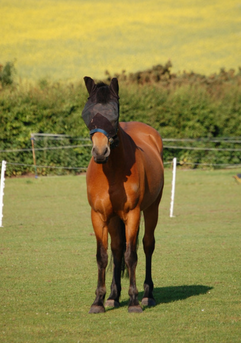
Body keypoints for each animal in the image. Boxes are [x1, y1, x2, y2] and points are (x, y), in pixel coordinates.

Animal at [81, 78, 164, 314]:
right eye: (87, 113)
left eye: (114, 114)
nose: (100, 152)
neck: (112, 171)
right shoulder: (99, 216)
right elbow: (103, 256)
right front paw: (98, 301)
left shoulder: (132, 214)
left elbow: (131, 256)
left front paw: (134, 301)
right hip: (113, 219)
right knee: (117, 249)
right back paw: (113, 296)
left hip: (151, 209)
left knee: (147, 245)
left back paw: (147, 295)